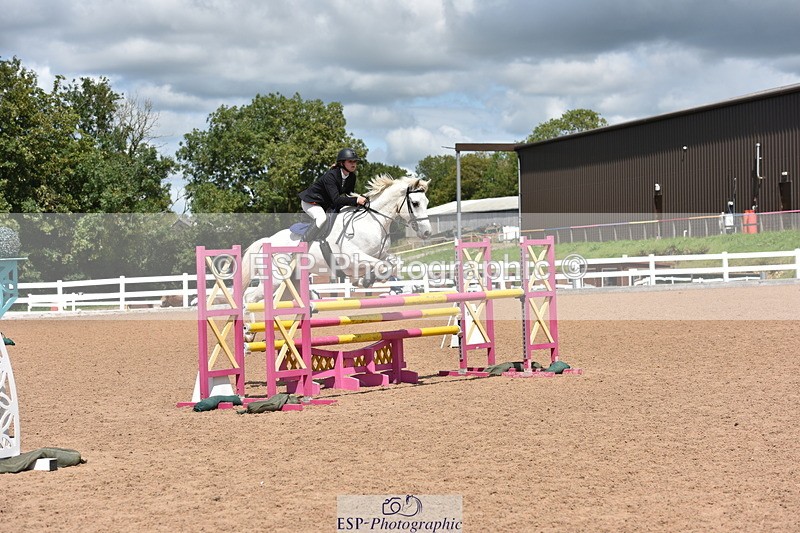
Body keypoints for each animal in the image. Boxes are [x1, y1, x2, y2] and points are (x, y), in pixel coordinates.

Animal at [241, 174, 432, 303]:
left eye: (427, 202)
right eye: (415, 203)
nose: (427, 233)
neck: (371, 222)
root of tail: (265, 241)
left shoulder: (380, 254)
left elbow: (393, 263)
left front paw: (365, 280)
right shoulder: (352, 257)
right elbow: (381, 265)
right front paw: (365, 279)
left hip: (291, 280)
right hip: (276, 278)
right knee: (249, 298)